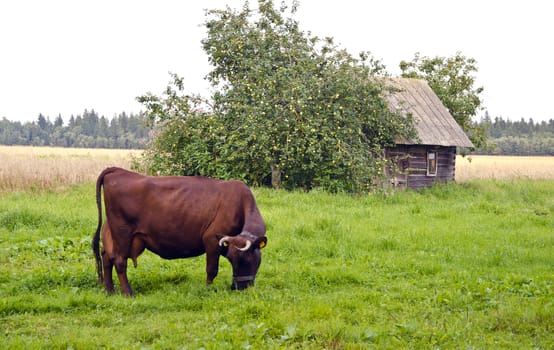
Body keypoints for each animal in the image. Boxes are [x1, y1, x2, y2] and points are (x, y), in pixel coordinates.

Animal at [91, 167, 268, 296]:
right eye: (236, 260)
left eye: (245, 259)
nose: (239, 287)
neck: (239, 203)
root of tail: (118, 170)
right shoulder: (211, 239)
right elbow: (212, 269)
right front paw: (208, 289)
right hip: (122, 232)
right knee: (119, 261)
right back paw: (128, 293)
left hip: (115, 234)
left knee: (106, 256)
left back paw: (110, 291)